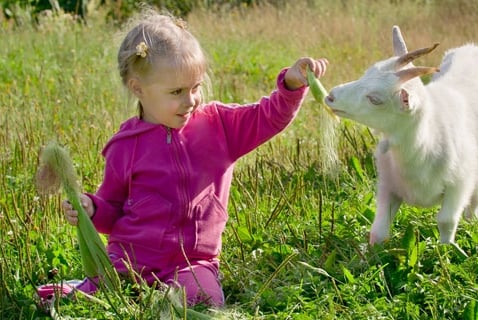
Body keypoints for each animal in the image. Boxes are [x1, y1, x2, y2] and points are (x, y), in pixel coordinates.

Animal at [326, 26, 478, 244]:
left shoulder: (459, 185)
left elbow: (446, 221)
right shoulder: (388, 186)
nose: (331, 96)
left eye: (375, 99)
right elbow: (379, 230)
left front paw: (446, 248)